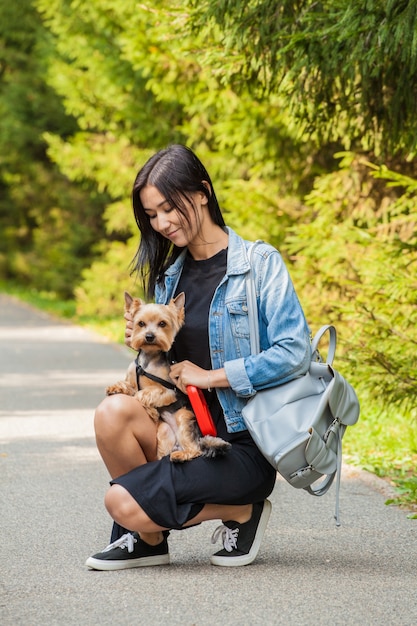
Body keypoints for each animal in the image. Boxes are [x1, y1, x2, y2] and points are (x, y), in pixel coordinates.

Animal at [105, 290, 231, 460]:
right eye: (141, 323)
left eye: (162, 324)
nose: (149, 336)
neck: (149, 360)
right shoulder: (133, 381)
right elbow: (130, 387)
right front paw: (115, 387)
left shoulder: (170, 391)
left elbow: (144, 394)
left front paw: (151, 410)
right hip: (164, 431)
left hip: (183, 417)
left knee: (195, 449)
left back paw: (181, 455)